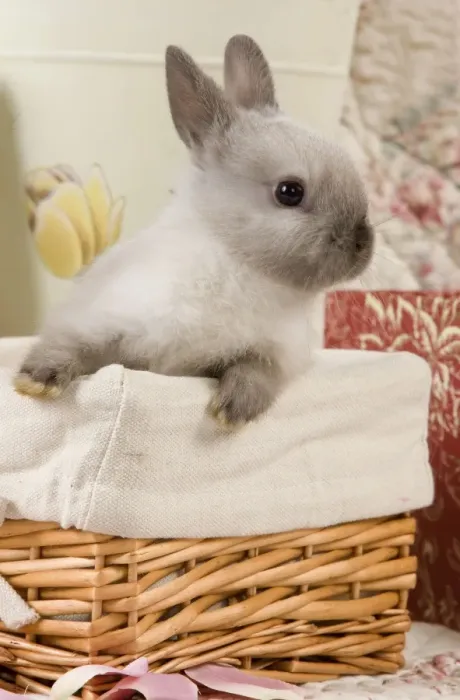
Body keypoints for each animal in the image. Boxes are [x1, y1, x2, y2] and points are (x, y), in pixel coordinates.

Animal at [14, 34, 374, 428]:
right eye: (289, 191)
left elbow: (254, 372)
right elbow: (69, 345)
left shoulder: (275, 354)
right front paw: (35, 382)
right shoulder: (96, 319)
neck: (238, 265)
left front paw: (229, 412)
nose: (362, 244)